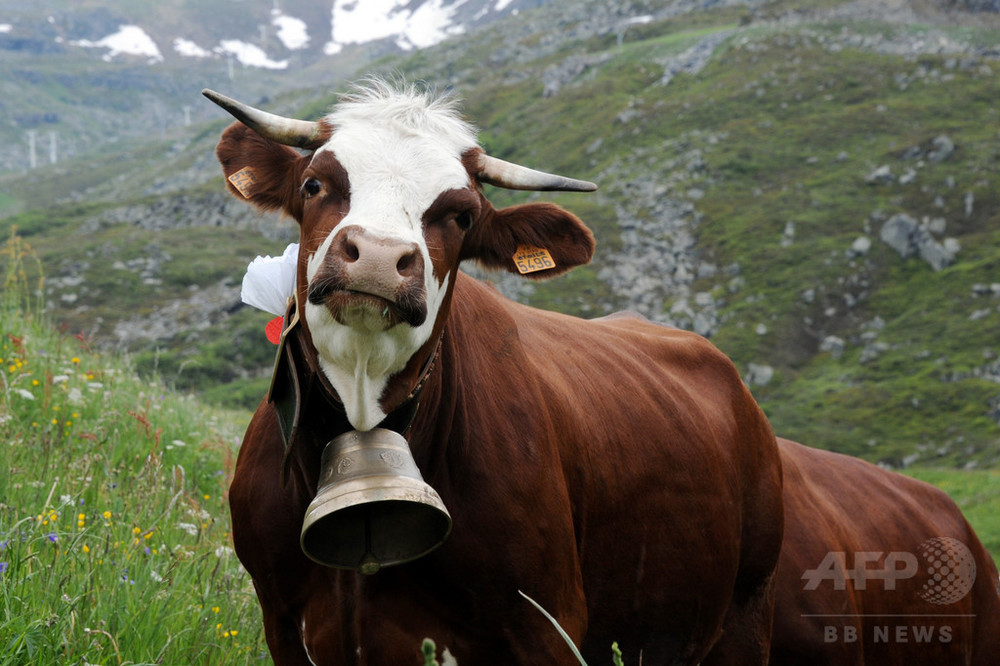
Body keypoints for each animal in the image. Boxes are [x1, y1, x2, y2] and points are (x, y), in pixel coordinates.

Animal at [207, 79, 784, 664]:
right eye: (314, 183)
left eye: (461, 215)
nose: (377, 256)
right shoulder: (280, 618)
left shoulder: (547, 625)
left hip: (745, 614)